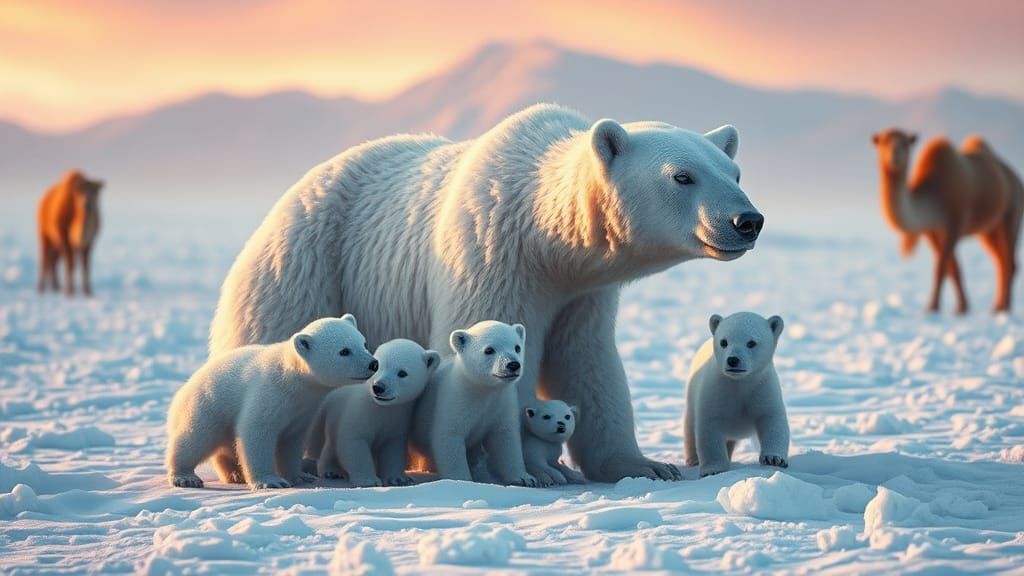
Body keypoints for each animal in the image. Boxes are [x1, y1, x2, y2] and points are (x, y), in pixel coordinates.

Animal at [165, 315, 376, 489]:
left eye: (364, 343)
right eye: (344, 351)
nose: (373, 364)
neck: (291, 378)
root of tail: (181, 393)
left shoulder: (303, 410)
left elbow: (292, 442)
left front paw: (300, 476)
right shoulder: (268, 393)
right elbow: (256, 432)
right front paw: (270, 481)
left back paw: (234, 474)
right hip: (207, 404)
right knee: (195, 437)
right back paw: (185, 477)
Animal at [303, 338, 440, 487]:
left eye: (402, 373)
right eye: (378, 367)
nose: (379, 387)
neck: (379, 407)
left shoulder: (397, 420)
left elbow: (392, 448)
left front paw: (397, 479)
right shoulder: (357, 413)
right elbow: (354, 442)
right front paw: (368, 480)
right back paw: (331, 471)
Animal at [410, 320, 536, 486]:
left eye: (517, 347)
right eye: (489, 350)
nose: (513, 365)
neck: (482, 389)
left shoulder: (502, 403)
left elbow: (505, 437)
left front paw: (525, 478)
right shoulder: (455, 400)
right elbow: (449, 437)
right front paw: (462, 480)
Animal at [683, 312, 789, 477]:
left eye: (751, 343)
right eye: (723, 342)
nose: (733, 360)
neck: (739, 382)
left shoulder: (764, 389)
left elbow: (772, 420)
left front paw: (774, 459)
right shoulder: (715, 391)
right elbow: (709, 427)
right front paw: (713, 469)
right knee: (690, 427)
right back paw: (693, 460)